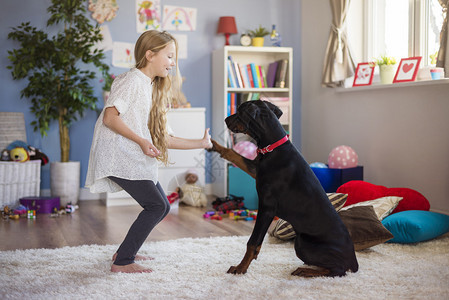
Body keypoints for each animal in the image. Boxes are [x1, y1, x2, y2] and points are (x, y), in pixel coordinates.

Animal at [209, 100, 356, 276]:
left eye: (240, 111)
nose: (225, 119)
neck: (273, 147)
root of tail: (354, 259)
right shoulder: (256, 170)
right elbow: (234, 154)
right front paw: (213, 145)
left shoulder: (267, 207)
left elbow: (253, 242)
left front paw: (241, 268)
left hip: (302, 243)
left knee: (338, 270)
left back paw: (305, 271)